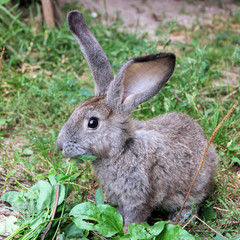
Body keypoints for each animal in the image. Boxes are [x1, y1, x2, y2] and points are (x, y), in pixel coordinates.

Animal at [57, 10, 218, 232]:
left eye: (92, 123)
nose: (60, 145)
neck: (121, 149)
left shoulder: (140, 196)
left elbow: (136, 216)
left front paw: (127, 231)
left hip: (195, 185)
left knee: (193, 202)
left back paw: (179, 218)